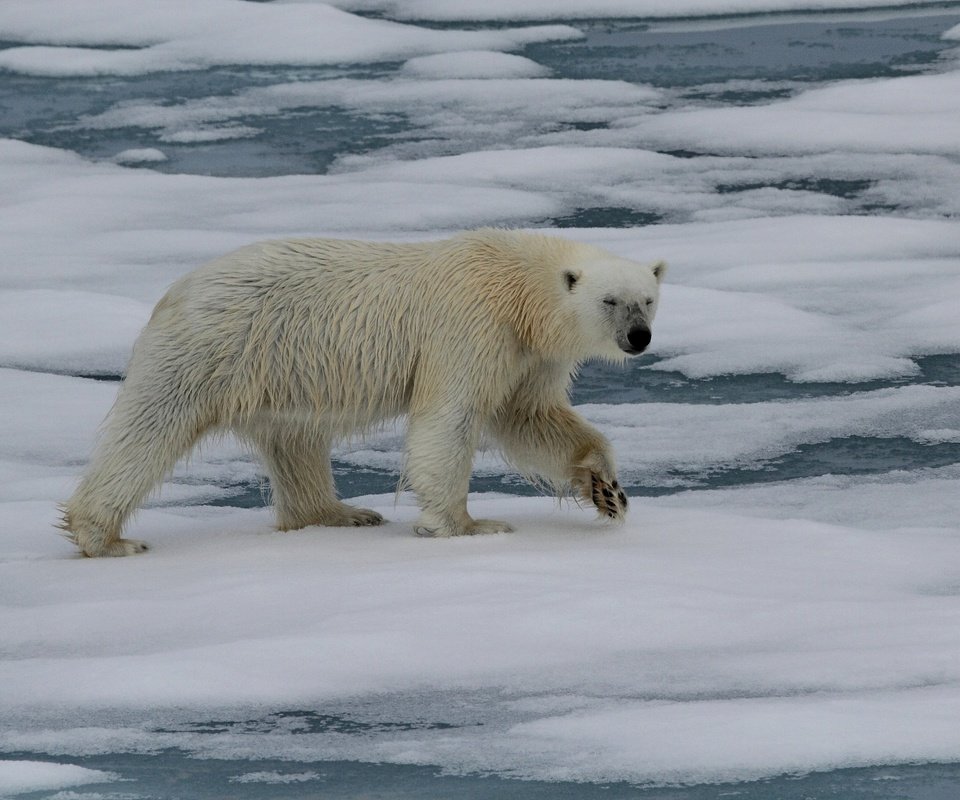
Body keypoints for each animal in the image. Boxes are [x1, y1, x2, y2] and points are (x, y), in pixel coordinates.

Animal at [58, 230, 660, 556]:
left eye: (648, 299)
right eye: (610, 300)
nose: (639, 338)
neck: (517, 284)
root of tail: (175, 289)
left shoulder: (529, 354)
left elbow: (530, 417)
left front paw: (608, 490)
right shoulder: (471, 324)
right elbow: (451, 419)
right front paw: (467, 525)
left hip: (280, 369)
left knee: (295, 441)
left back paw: (339, 513)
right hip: (215, 346)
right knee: (151, 427)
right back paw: (105, 537)